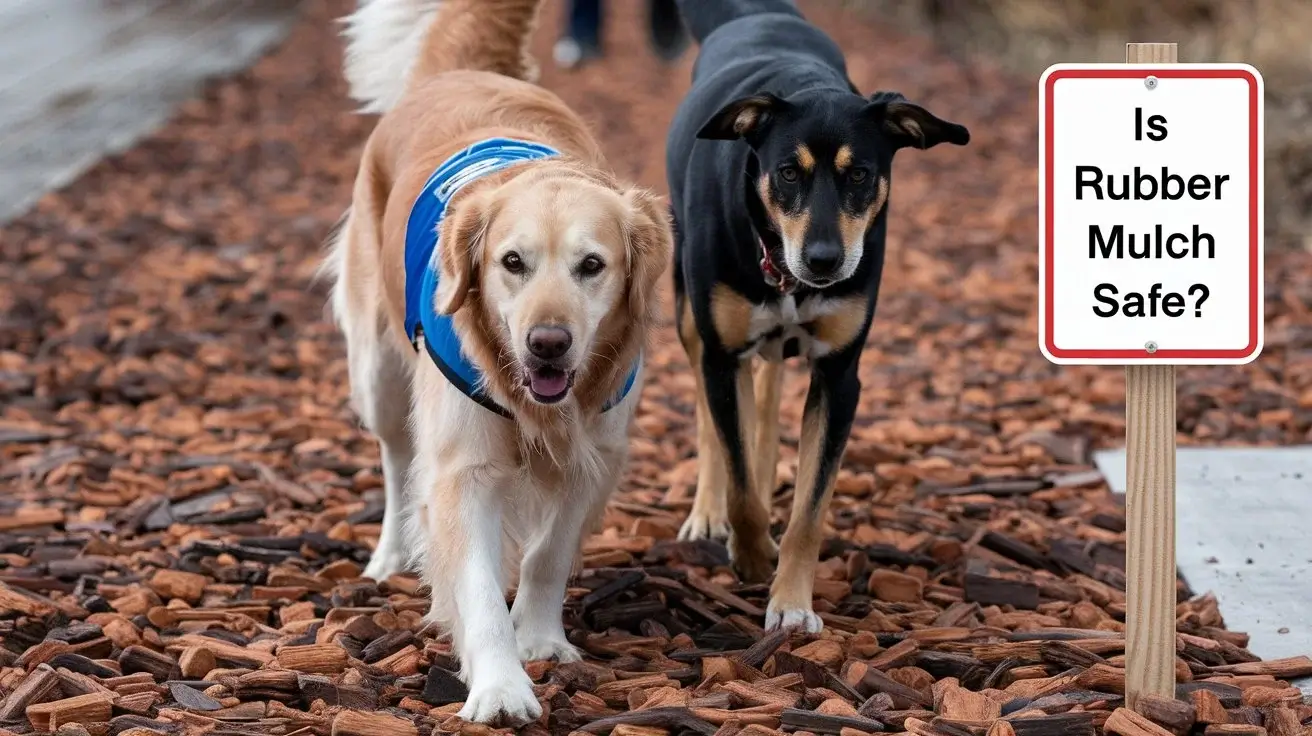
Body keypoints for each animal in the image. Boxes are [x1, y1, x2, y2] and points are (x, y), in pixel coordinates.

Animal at [666, 1, 976, 632]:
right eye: (788, 172)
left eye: (860, 174)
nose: (826, 260)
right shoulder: (720, 356)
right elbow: (737, 479)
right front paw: (750, 553)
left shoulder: (839, 376)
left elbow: (810, 508)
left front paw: (790, 603)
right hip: (690, 319)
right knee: (714, 423)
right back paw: (708, 512)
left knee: (764, 407)